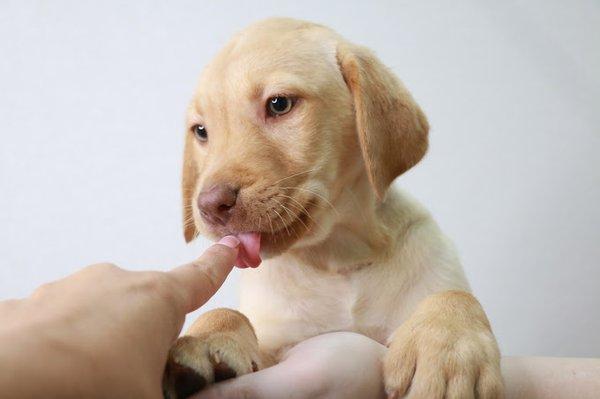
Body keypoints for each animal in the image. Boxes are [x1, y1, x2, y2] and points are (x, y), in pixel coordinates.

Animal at [162, 18, 504, 399]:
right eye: (201, 131)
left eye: (278, 104)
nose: (210, 205)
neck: (338, 260)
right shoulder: (277, 343)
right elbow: (229, 313)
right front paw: (205, 337)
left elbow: (454, 294)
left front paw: (449, 350)